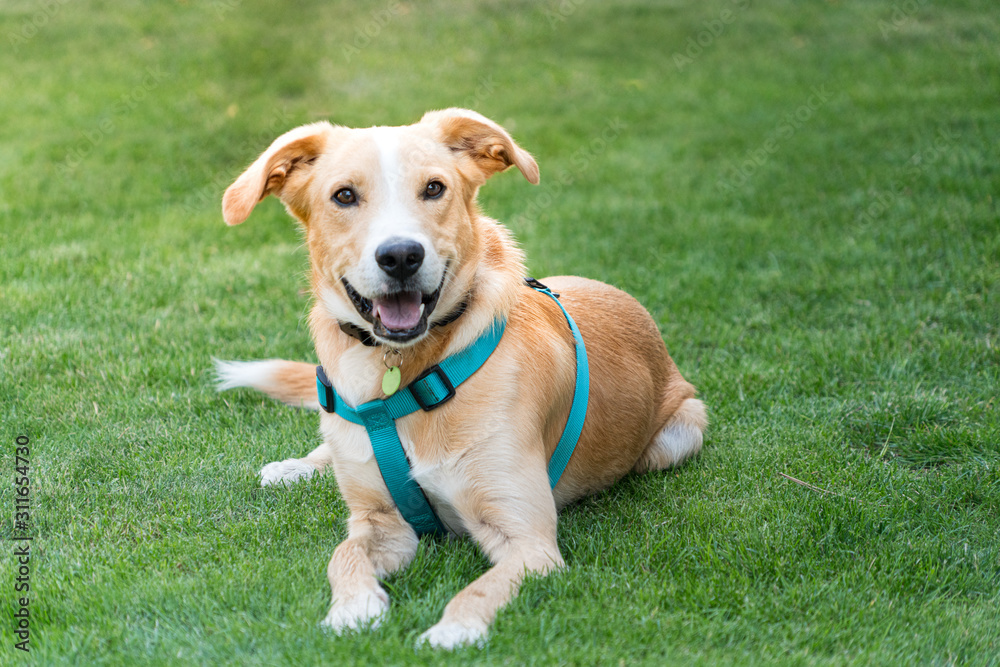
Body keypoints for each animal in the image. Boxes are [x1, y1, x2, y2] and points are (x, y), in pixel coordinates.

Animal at [215, 108, 708, 648]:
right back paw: (295, 467)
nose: (401, 256)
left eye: (434, 188)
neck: (406, 373)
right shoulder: (378, 522)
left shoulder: (528, 541)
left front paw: (452, 631)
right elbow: (343, 556)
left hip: (681, 434)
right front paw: (352, 610)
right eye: (344, 195)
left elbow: (480, 588)